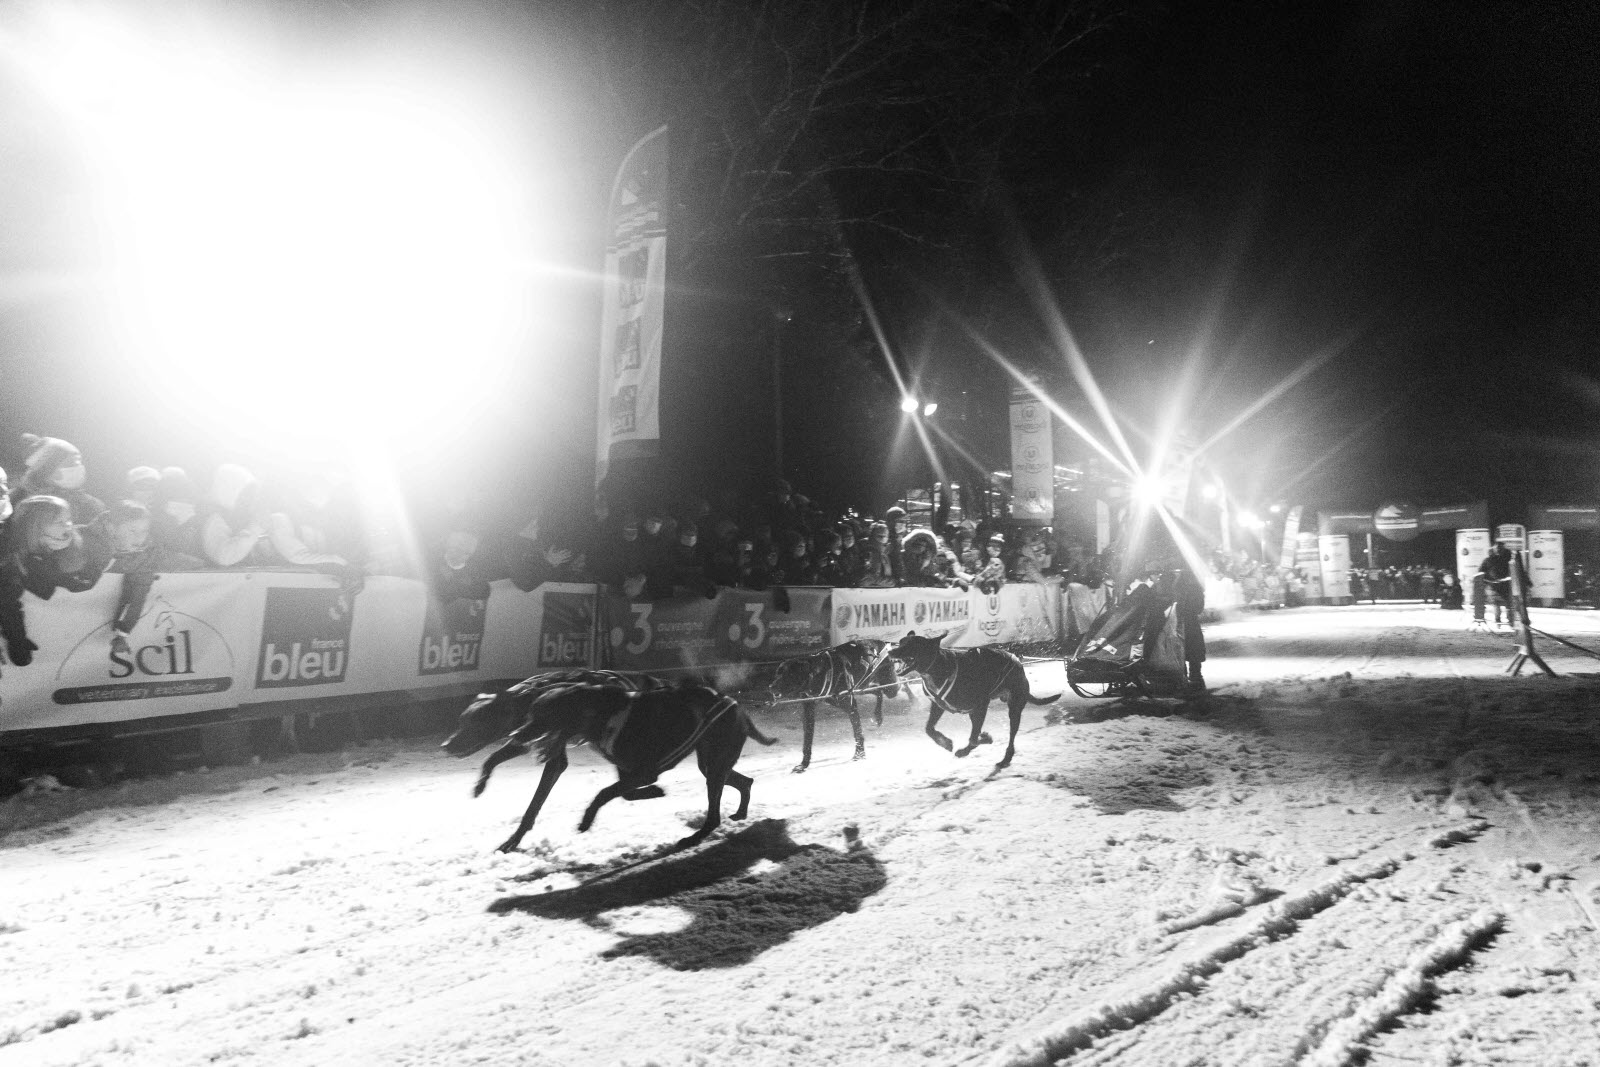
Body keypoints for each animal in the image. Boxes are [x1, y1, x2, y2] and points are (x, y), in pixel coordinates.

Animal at [448, 681, 778, 853]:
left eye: (542, 716)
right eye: (531, 714)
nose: (517, 734)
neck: (598, 712)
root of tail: (737, 706)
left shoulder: (643, 770)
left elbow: (603, 793)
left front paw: (586, 820)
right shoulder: (630, 772)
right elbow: (623, 792)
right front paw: (655, 793)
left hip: (714, 765)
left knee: (713, 816)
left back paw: (695, 837)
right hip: (711, 764)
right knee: (744, 782)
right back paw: (740, 813)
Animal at [763, 639, 904, 772]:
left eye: (788, 674)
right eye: (778, 673)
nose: (770, 687)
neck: (820, 673)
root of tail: (883, 642)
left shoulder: (851, 706)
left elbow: (858, 732)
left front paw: (859, 754)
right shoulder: (809, 710)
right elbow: (807, 740)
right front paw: (804, 764)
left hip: (890, 688)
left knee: (893, 686)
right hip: (862, 686)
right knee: (877, 691)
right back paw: (878, 715)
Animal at [888, 631, 1059, 768]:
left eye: (911, 644)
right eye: (901, 641)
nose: (890, 650)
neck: (938, 668)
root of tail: (1018, 662)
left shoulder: (981, 706)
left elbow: (973, 739)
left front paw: (976, 744)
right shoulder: (939, 705)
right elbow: (929, 729)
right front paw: (945, 742)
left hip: (1014, 709)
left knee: (1011, 737)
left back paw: (1005, 758)